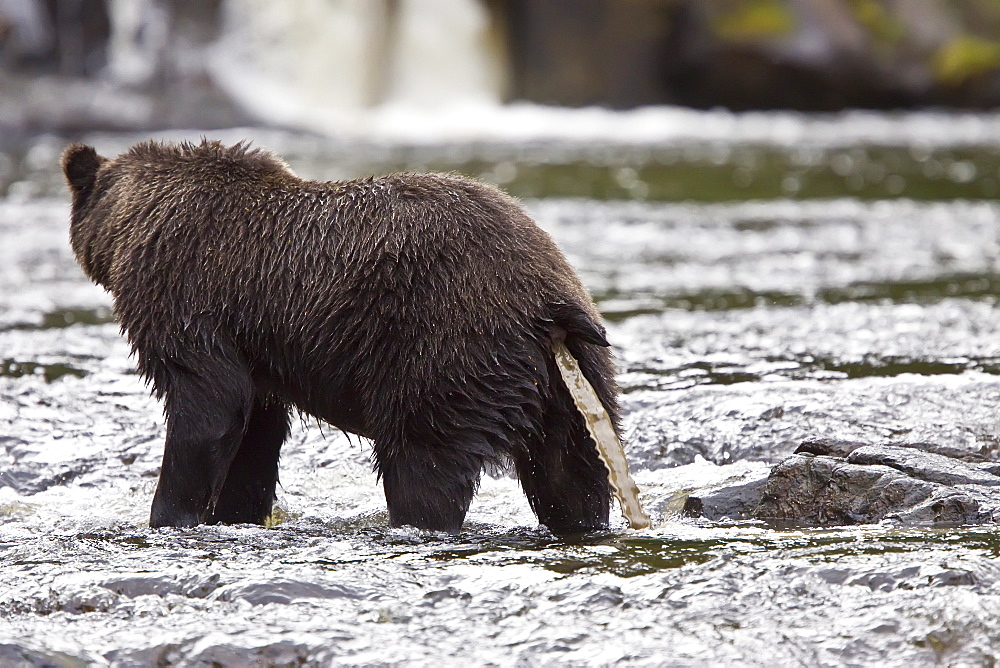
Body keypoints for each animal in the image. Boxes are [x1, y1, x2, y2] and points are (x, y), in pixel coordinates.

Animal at [60, 140, 616, 532]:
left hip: (446, 346)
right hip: (571, 379)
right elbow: (254, 431)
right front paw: (235, 510)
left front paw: (169, 515)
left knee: (423, 462)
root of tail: (550, 300)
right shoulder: (257, 349)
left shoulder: (187, 294)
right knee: (573, 474)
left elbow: (208, 403)